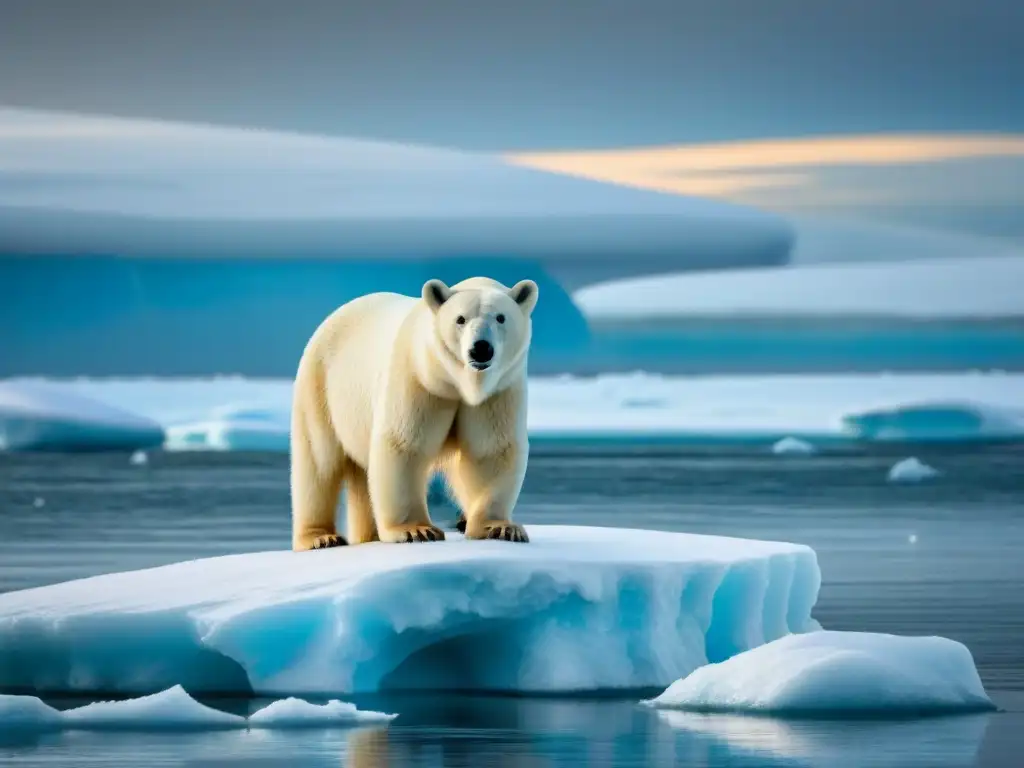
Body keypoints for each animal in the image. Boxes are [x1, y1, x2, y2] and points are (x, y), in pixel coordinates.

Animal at [290, 276, 536, 552]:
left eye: (500, 317)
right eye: (460, 319)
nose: (480, 348)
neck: (456, 382)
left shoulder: (497, 393)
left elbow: (491, 449)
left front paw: (500, 528)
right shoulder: (418, 380)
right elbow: (404, 445)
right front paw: (415, 531)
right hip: (321, 388)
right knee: (318, 462)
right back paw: (320, 537)